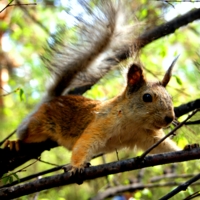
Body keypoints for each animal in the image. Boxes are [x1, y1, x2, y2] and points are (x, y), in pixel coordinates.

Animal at [3, 0, 180, 173]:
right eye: (147, 97)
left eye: (170, 97)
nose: (169, 118)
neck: (133, 123)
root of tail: (54, 98)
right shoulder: (101, 123)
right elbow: (84, 144)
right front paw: (76, 166)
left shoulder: (147, 136)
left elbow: (165, 147)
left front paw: (185, 149)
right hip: (39, 124)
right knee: (28, 134)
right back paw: (15, 142)